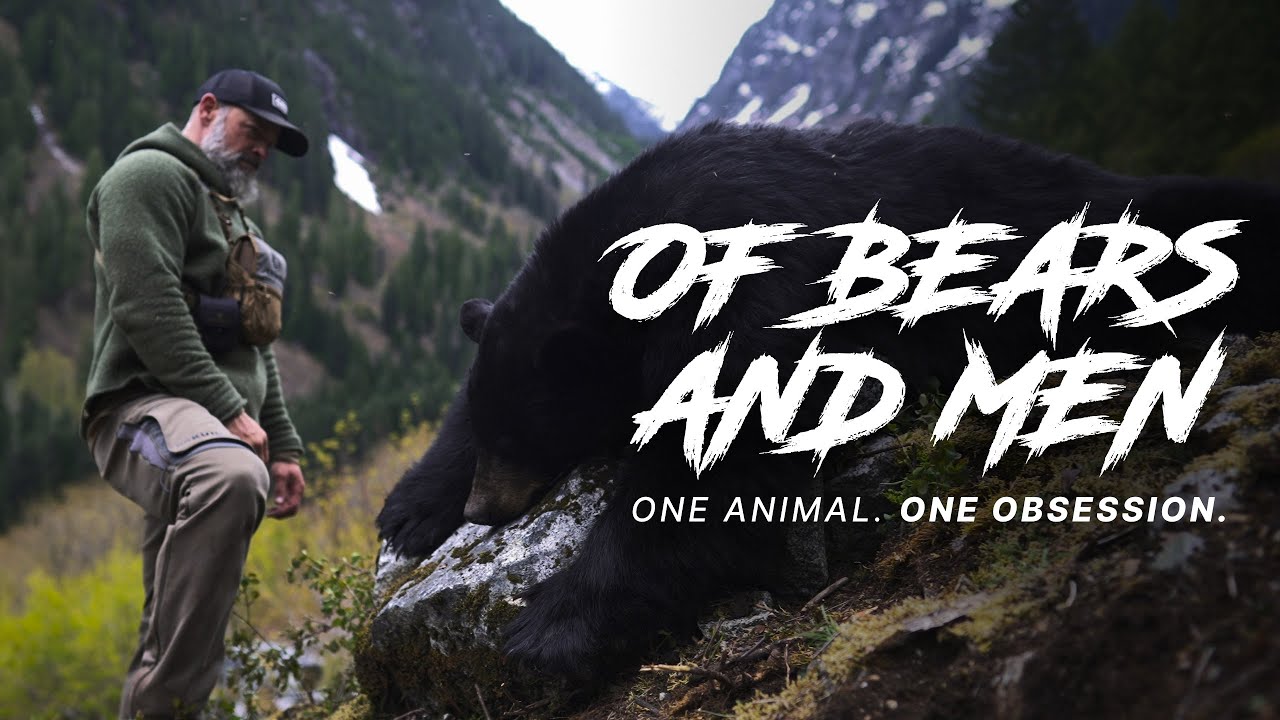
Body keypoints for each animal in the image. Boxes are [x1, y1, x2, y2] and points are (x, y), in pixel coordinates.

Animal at [378, 120, 1279, 683]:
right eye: (496, 431)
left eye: (527, 438)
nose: (484, 510)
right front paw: (412, 504)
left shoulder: (762, 292)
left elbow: (720, 461)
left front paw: (549, 628)